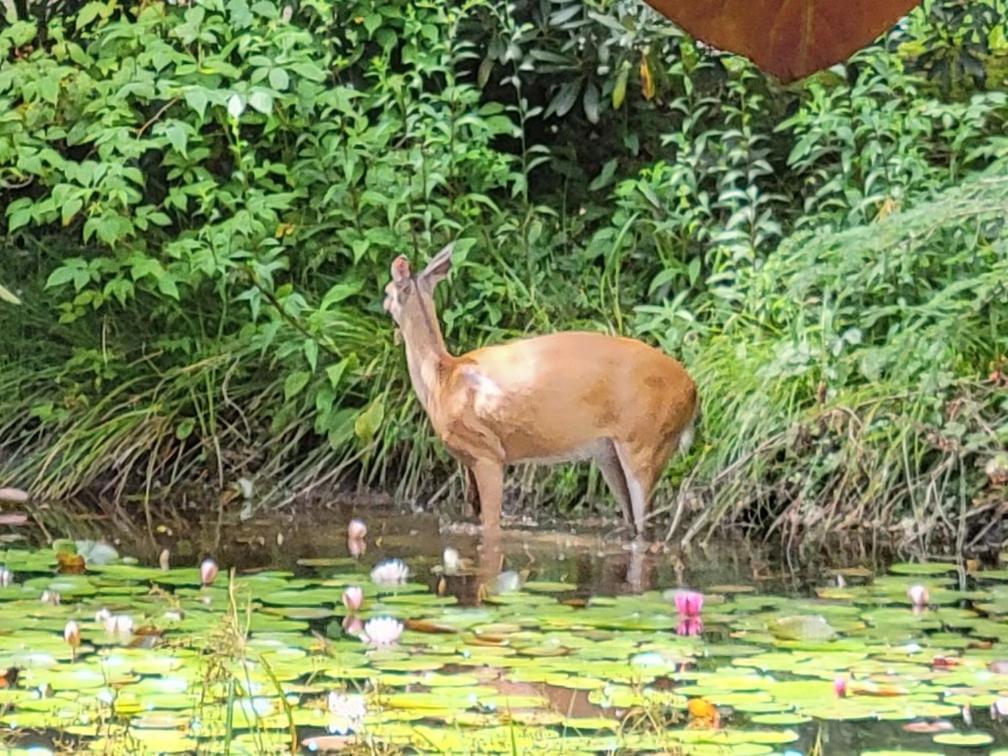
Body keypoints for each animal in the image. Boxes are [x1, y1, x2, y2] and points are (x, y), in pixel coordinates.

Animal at [381, 243, 697, 540]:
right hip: (610, 452)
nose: (382, 303)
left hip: (644, 440)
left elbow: (492, 525)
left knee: (646, 522)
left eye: (387, 290)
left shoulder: (487, 451)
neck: (441, 379)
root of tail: (693, 392)